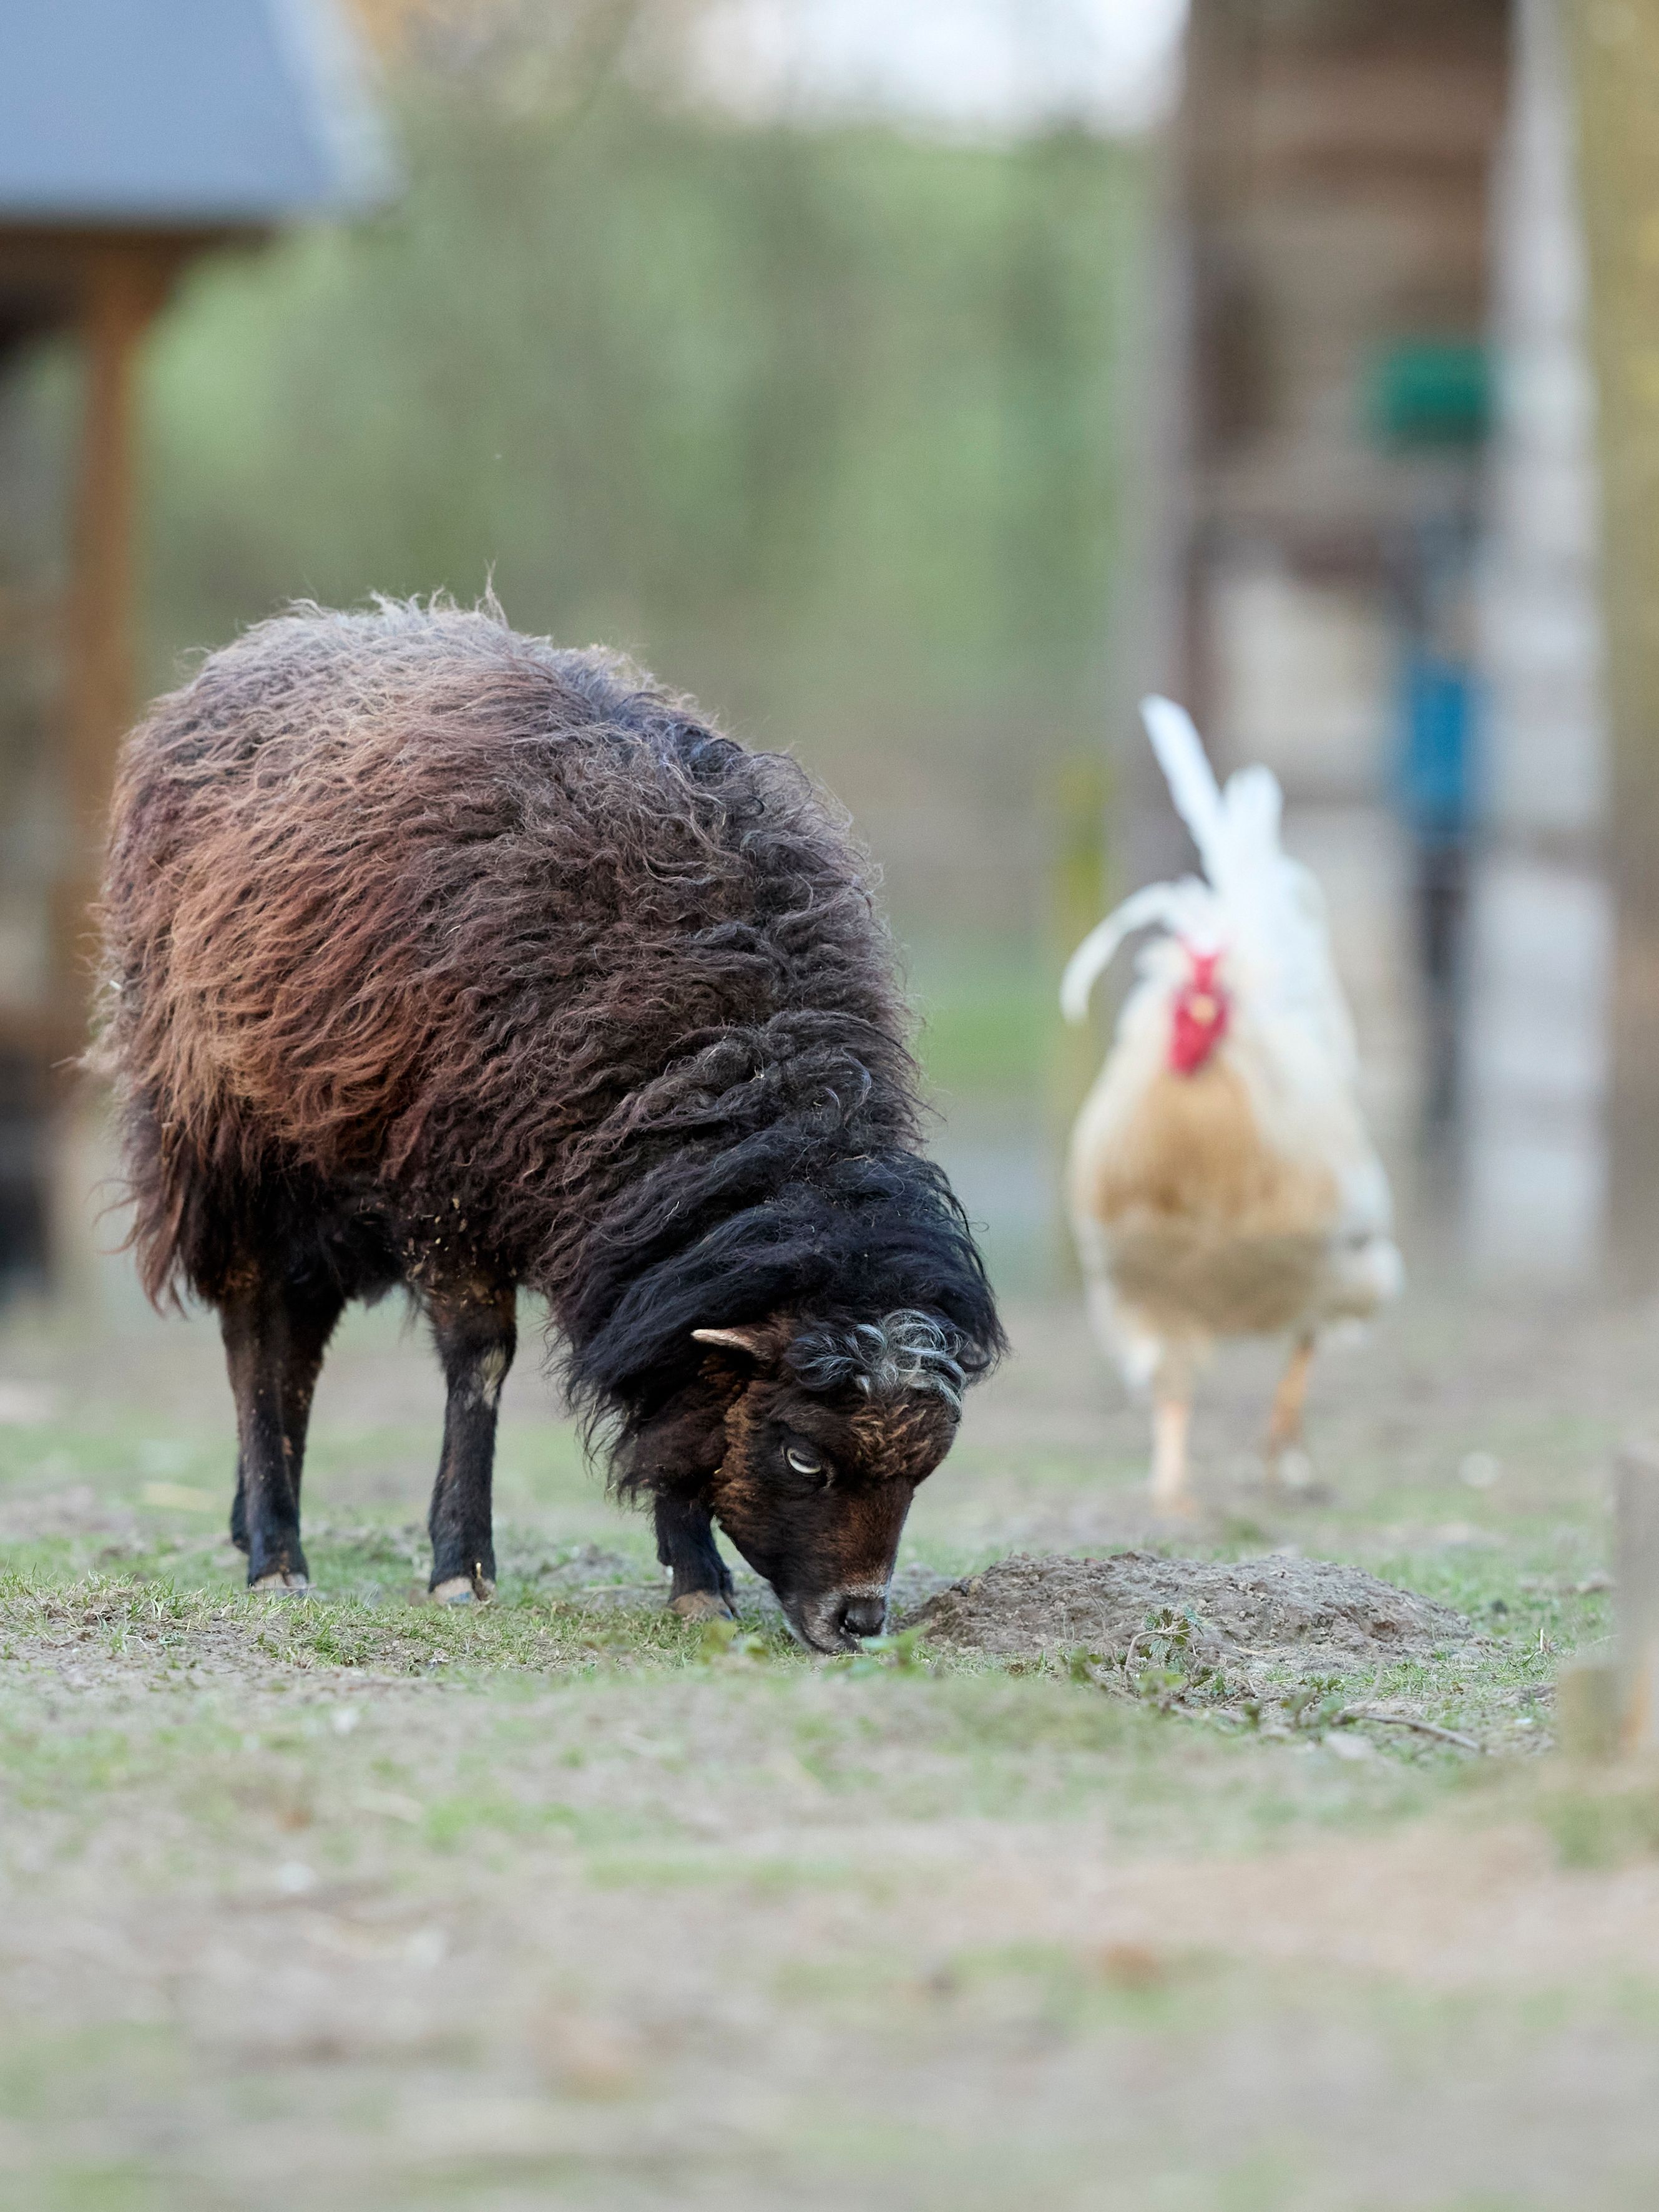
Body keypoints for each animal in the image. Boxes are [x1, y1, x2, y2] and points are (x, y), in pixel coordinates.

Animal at [94, 599, 1003, 1650]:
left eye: (926, 1469)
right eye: (803, 1456)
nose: (857, 1622)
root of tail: (283, 636)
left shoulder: (653, 1260)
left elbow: (675, 1404)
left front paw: (697, 1581)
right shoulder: (451, 1183)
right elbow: (482, 1365)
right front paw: (460, 1568)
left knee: (299, 1341)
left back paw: (251, 1522)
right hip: (231, 1144)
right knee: (258, 1335)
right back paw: (278, 1556)